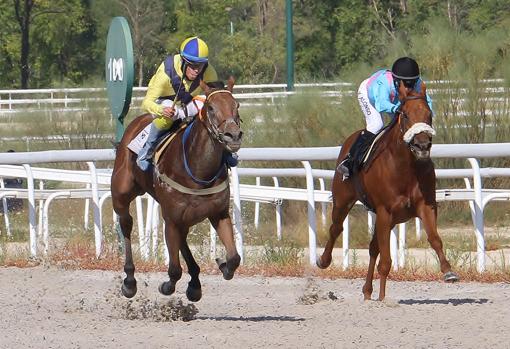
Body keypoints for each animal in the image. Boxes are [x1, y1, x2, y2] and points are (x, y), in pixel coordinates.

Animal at [113, 77, 243, 300]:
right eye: (210, 107)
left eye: (237, 105)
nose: (232, 136)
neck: (199, 172)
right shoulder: (171, 218)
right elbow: (174, 269)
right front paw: (166, 286)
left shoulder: (218, 213)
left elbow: (234, 258)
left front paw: (222, 264)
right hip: (121, 193)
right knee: (126, 223)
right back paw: (129, 281)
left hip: (184, 217)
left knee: (182, 239)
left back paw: (195, 283)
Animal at [318, 81, 458, 300]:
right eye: (406, 115)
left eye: (429, 115)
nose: (422, 145)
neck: (406, 167)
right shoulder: (385, 210)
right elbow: (385, 261)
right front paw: (383, 299)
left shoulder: (424, 206)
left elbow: (434, 238)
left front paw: (448, 271)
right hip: (343, 200)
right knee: (336, 228)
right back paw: (324, 261)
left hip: (388, 219)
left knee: (373, 247)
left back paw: (367, 291)